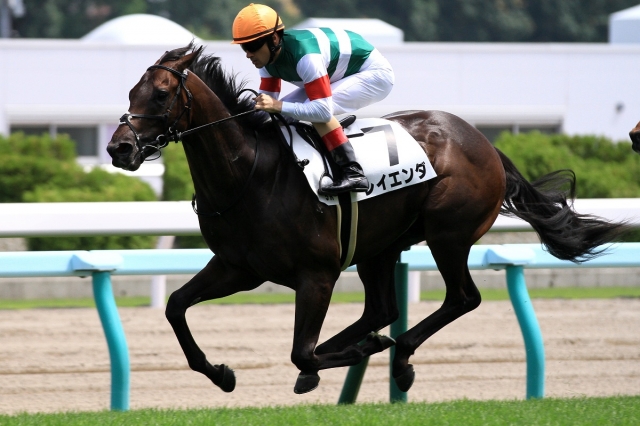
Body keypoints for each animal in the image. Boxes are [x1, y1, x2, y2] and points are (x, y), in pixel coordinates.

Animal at [107, 44, 627, 395]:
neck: (250, 173)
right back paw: (370, 348)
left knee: (461, 298)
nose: (119, 148)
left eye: (161, 94)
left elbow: (299, 349)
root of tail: (484, 142)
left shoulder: (316, 274)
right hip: (381, 245)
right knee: (382, 310)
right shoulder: (239, 267)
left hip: (448, 234)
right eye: (131, 91)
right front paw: (221, 374)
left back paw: (397, 357)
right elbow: (176, 306)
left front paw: (346, 356)